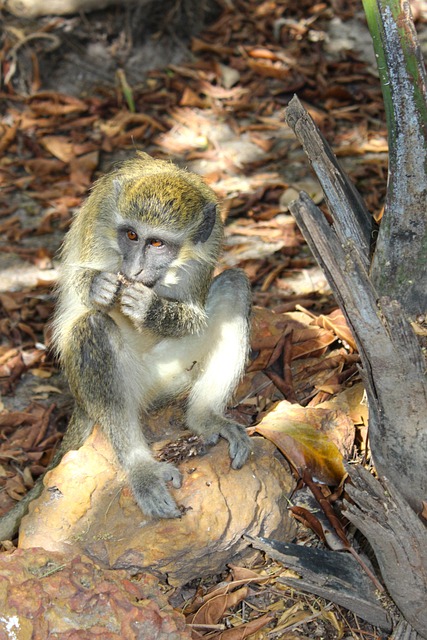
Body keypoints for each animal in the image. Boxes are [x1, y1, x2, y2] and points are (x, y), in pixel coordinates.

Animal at [0, 152, 252, 536]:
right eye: (131, 235)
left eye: (157, 243)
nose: (132, 270)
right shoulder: (102, 214)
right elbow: (79, 290)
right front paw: (97, 285)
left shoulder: (212, 238)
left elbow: (194, 315)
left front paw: (149, 309)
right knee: (92, 327)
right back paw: (141, 468)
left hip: (172, 375)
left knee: (236, 284)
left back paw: (205, 418)